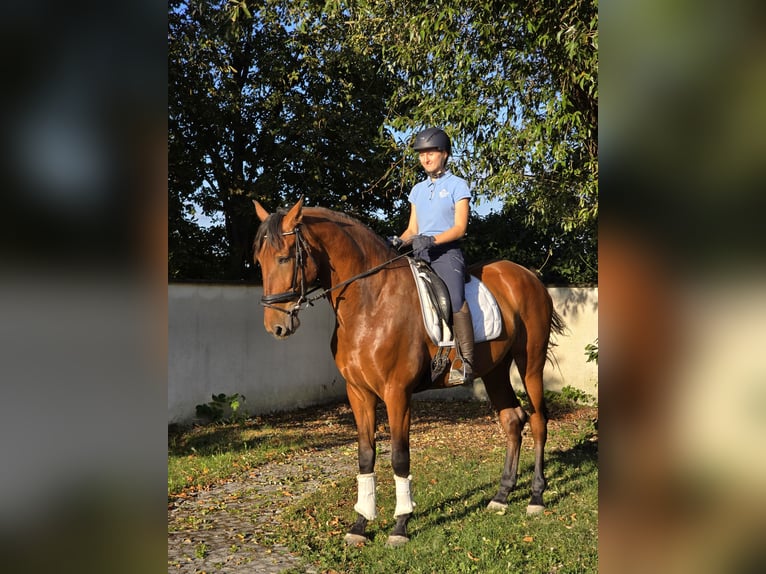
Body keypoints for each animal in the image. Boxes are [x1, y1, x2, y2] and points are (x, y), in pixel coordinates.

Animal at [252, 198, 564, 548]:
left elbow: (400, 457)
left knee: (538, 421)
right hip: (494, 371)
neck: (370, 302)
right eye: (259, 260)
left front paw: (400, 525)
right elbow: (365, 455)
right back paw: (501, 496)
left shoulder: (396, 393)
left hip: (530, 362)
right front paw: (360, 525)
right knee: (512, 420)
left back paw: (536, 497)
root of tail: (527, 275)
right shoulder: (358, 393)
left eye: (284, 257)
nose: (276, 327)